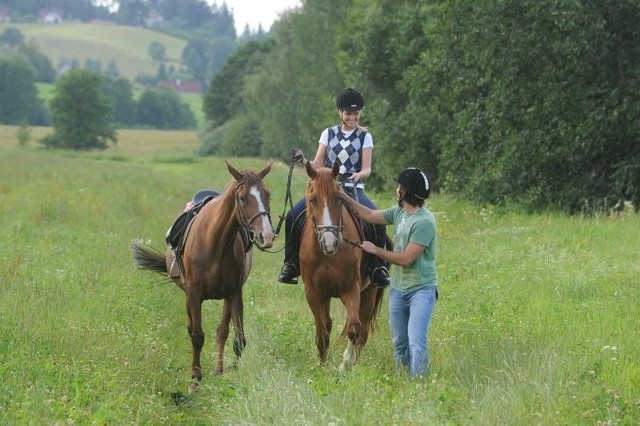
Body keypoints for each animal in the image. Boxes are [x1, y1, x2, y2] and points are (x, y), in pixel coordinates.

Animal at [131, 161, 274, 392]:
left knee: (222, 331)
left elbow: (238, 339)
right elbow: (197, 336)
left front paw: (232, 374)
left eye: (267, 195)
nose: (267, 236)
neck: (216, 241)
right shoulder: (194, 293)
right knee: (193, 329)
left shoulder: (234, 293)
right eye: (242, 197)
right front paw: (195, 380)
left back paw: (219, 369)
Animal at [300, 160, 384, 370]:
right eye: (312, 200)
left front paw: (346, 362)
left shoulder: (351, 289)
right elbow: (322, 331)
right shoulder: (313, 293)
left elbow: (353, 328)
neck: (327, 256)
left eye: (339, 199)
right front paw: (322, 366)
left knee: (363, 329)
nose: (329, 242)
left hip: (369, 292)